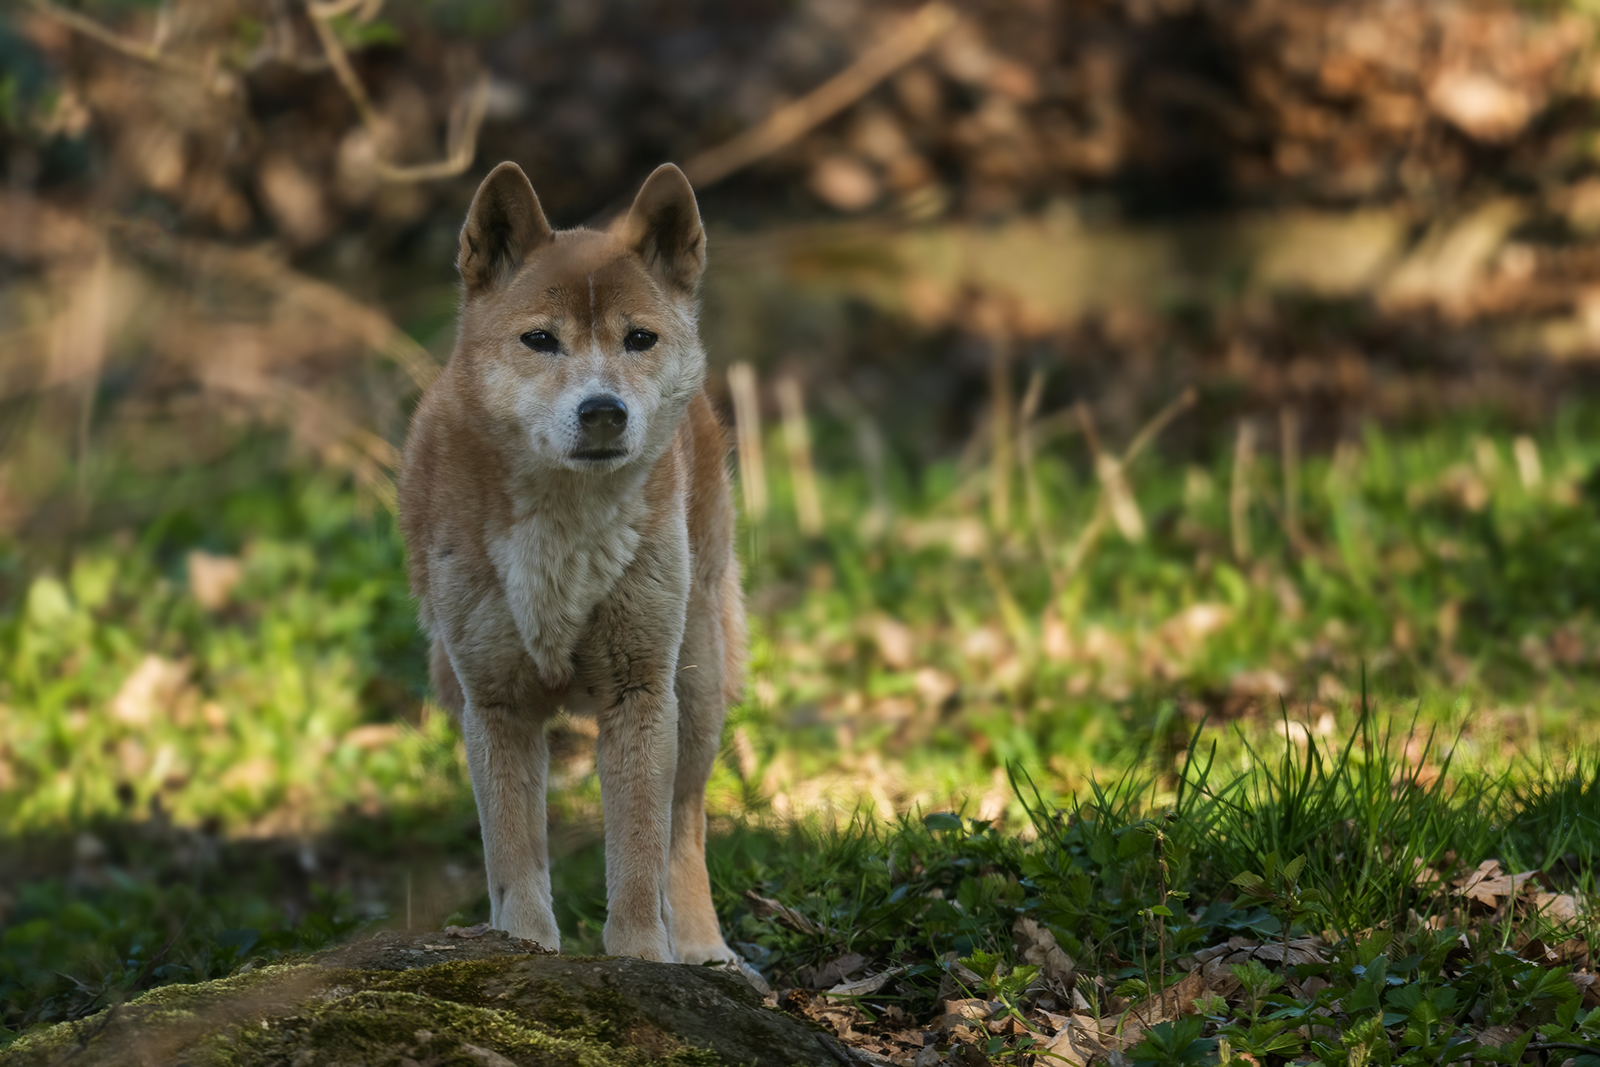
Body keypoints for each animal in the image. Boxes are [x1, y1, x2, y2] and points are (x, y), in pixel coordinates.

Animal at [400, 160, 748, 966]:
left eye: (638, 338)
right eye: (540, 340)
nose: (603, 411)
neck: (563, 525)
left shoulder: (639, 690)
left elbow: (640, 851)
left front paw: (640, 958)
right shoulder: (495, 702)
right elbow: (514, 851)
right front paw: (522, 946)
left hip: (697, 682)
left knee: (686, 827)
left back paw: (703, 947)